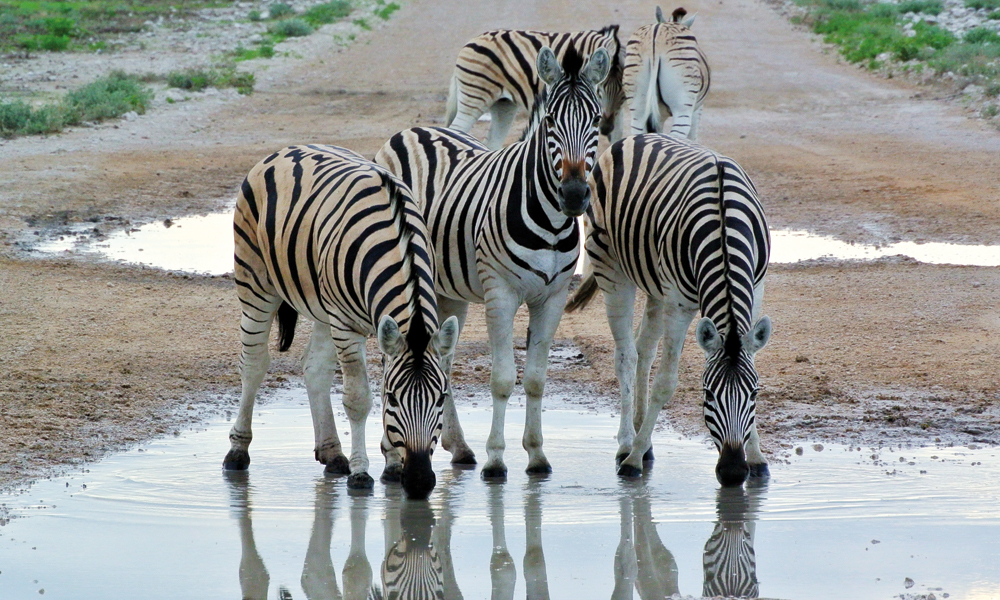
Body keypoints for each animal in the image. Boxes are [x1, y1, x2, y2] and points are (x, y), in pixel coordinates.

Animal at [224, 144, 460, 496]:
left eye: (442, 398)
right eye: (393, 399)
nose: (419, 482)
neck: (397, 241)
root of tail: (288, 149)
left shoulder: (383, 332)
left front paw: (391, 464)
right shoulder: (347, 326)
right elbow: (358, 397)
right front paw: (361, 473)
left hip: (324, 305)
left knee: (314, 367)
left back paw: (332, 453)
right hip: (256, 281)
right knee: (253, 364)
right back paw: (238, 451)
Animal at [376, 45, 608, 478]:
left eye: (598, 120)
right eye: (550, 120)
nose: (573, 195)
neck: (551, 223)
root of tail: (415, 130)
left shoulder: (552, 299)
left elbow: (535, 379)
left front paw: (536, 455)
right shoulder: (500, 293)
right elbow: (502, 379)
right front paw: (497, 459)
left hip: (448, 290)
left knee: (441, 359)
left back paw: (458, 446)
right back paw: (396, 455)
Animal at [448, 26, 624, 150]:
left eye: (622, 92)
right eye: (599, 90)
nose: (606, 128)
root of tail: (470, 42)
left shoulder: (616, 110)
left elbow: (618, 138)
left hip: (503, 105)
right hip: (475, 96)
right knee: (457, 128)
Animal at [568, 134, 768, 486]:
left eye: (754, 395)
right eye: (707, 395)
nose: (733, 473)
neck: (724, 225)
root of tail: (637, 136)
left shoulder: (755, 290)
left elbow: (751, 361)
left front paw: (757, 457)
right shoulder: (678, 302)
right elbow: (666, 382)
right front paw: (633, 460)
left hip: (654, 285)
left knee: (644, 348)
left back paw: (640, 432)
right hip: (611, 268)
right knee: (626, 356)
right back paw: (627, 443)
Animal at [620, 6, 716, 142]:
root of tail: (656, 34)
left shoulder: (657, 116)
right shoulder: (697, 108)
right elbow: (692, 136)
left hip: (637, 105)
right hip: (682, 105)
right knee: (677, 134)